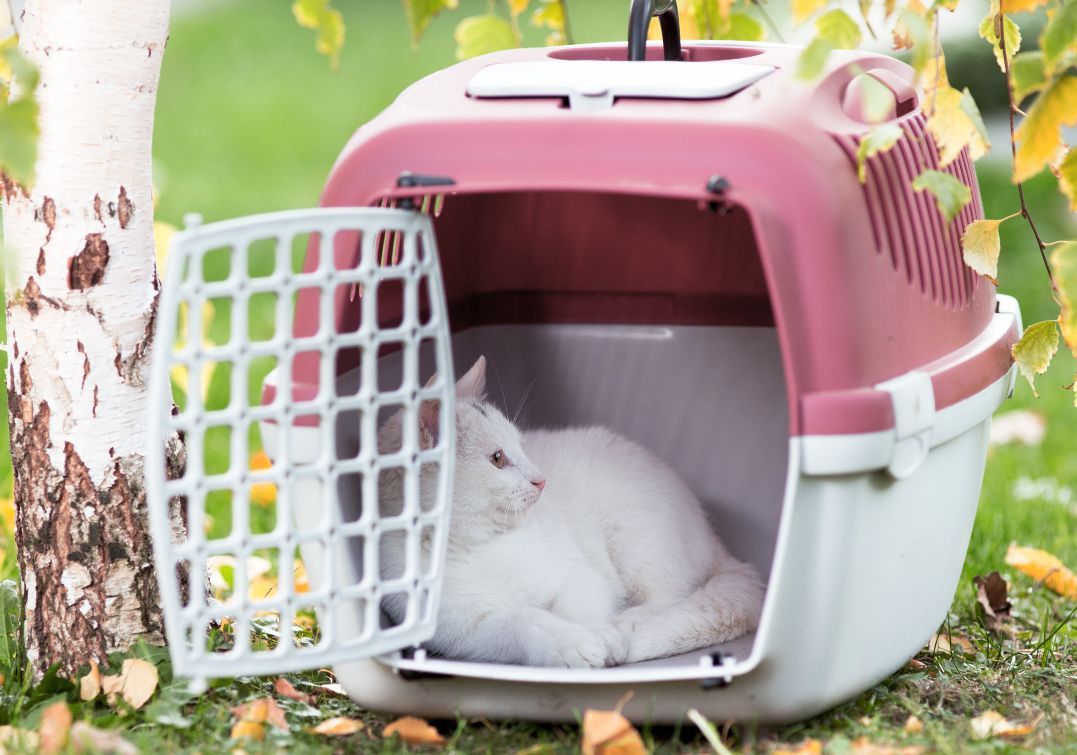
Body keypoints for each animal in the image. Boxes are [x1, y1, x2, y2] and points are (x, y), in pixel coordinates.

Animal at [379, 355, 766, 663]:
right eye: (498, 458)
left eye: (522, 446)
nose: (541, 480)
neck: (475, 545)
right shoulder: (465, 631)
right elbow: (521, 623)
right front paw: (569, 644)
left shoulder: (578, 576)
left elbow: (577, 607)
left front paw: (601, 634)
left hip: (637, 538)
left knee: (674, 595)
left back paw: (627, 623)